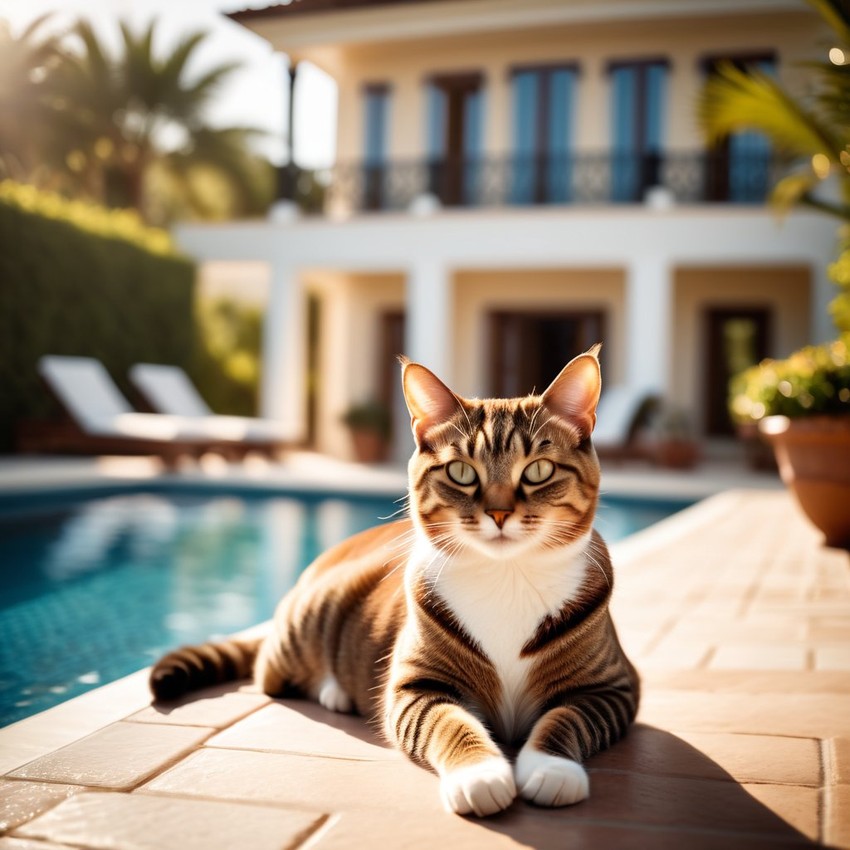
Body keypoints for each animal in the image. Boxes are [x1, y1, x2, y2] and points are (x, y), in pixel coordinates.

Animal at [147, 344, 636, 816]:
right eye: (461, 472)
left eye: (538, 471)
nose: (498, 514)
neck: (506, 577)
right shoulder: (414, 686)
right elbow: (449, 723)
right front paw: (479, 775)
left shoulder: (612, 687)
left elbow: (567, 719)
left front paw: (553, 769)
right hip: (312, 617)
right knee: (270, 669)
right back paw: (334, 690)